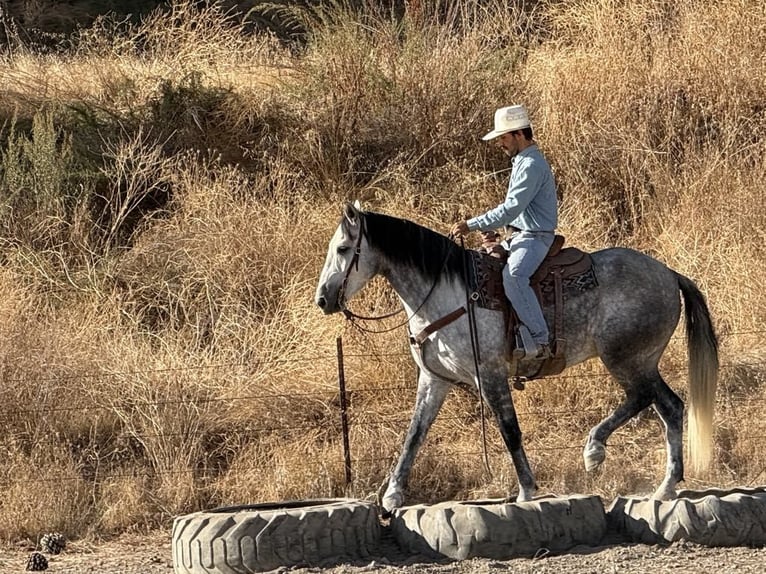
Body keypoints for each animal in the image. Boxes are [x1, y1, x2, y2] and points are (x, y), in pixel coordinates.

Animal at [316, 202, 720, 512]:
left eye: (342, 249)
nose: (322, 299)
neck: (446, 293)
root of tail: (669, 273)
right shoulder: (435, 379)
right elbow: (415, 434)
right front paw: (392, 496)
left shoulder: (490, 374)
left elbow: (509, 430)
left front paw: (527, 489)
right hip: (641, 361)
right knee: (669, 407)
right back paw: (665, 486)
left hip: (626, 359)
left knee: (645, 398)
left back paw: (596, 451)